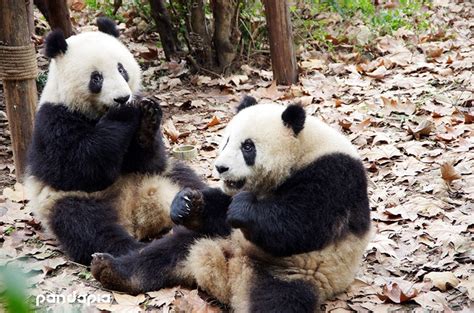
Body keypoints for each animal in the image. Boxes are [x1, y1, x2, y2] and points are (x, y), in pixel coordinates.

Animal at [25, 18, 204, 264]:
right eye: (96, 78)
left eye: (121, 69)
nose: (122, 97)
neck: (96, 113)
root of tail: (137, 218)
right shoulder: (53, 121)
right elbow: (79, 166)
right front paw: (123, 113)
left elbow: (149, 160)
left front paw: (147, 119)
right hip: (67, 201)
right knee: (86, 225)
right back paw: (130, 249)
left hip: (164, 176)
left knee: (188, 180)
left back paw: (184, 206)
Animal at [90, 96, 372, 310]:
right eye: (225, 141)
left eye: (248, 147)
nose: (221, 167)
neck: (302, 150)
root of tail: (231, 271)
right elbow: (220, 206)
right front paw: (186, 204)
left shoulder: (333, 173)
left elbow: (301, 223)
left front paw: (244, 209)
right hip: (210, 239)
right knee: (162, 253)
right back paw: (111, 269)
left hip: (292, 274)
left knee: (276, 302)